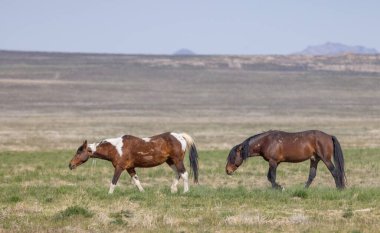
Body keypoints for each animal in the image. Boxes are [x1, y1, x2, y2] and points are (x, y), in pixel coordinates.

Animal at [69, 132, 199, 194]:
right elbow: (136, 181)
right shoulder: (130, 168)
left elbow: (113, 182)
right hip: (170, 161)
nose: (70, 165)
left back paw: (185, 191)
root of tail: (180, 136)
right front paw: (143, 192)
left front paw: (109, 194)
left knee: (184, 174)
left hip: (177, 160)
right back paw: (173, 189)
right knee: (178, 173)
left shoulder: (119, 168)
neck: (116, 148)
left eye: (79, 152)